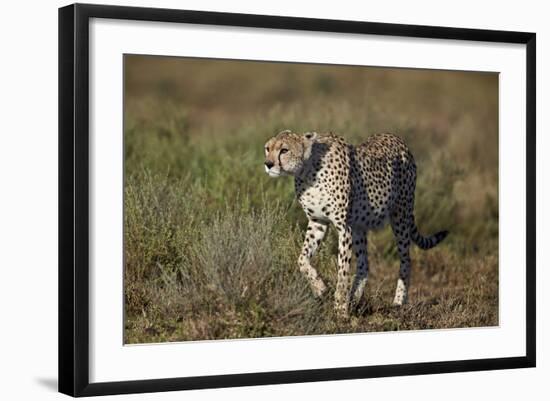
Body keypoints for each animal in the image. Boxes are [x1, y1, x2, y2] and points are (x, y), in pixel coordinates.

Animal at [264, 129, 448, 316]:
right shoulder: (318, 222)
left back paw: (397, 302)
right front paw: (320, 288)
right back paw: (354, 298)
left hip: (400, 216)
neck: (307, 170)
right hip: (359, 225)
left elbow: (343, 271)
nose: (268, 164)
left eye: (284, 150)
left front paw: (340, 309)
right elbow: (302, 259)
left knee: (405, 261)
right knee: (364, 264)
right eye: (267, 148)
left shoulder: (344, 227)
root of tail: (396, 138)